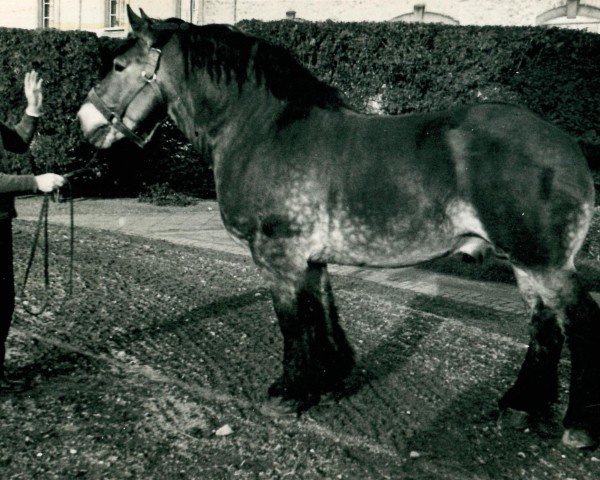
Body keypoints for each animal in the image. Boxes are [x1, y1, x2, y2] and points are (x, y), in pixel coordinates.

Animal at [77, 6, 596, 450]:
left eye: (119, 66)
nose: (84, 122)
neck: (262, 130)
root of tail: (567, 146)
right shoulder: (312, 258)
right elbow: (323, 314)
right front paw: (330, 383)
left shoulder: (277, 255)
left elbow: (292, 322)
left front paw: (289, 392)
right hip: (525, 263)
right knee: (545, 326)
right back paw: (520, 406)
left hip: (543, 261)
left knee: (579, 321)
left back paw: (577, 426)